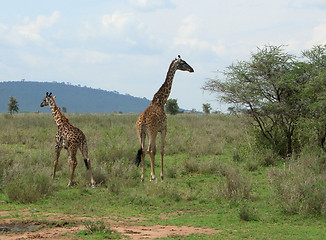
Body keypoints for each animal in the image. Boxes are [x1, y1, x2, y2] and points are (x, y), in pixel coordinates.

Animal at [135, 54, 194, 182]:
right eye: (183, 62)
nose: (192, 69)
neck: (160, 102)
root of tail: (142, 122)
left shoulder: (154, 132)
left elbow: (155, 150)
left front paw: (151, 175)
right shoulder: (163, 129)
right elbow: (161, 150)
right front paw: (161, 176)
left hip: (141, 133)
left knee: (143, 150)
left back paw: (142, 177)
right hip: (151, 132)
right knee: (150, 150)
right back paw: (153, 177)